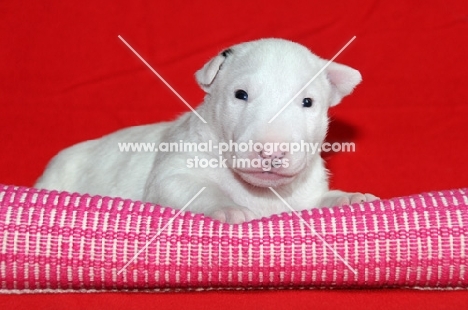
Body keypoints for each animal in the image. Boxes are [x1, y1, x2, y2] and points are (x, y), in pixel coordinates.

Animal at [36, 38, 380, 223]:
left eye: (308, 102)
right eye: (240, 94)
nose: (271, 152)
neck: (258, 191)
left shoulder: (304, 197)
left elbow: (321, 200)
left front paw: (351, 198)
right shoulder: (174, 173)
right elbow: (195, 187)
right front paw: (230, 208)